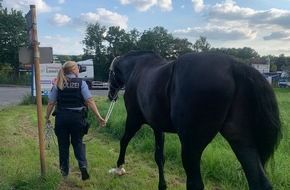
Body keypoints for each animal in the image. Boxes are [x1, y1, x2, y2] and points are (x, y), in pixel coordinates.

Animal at [107, 50, 280, 190]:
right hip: (241, 141)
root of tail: (234, 65)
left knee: (195, 184)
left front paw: (119, 167)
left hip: (191, 146)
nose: (110, 95)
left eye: (110, 73)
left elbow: (124, 140)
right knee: (260, 182)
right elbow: (159, 157)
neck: (138, 68)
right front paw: (162, 185)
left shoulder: (133, 119)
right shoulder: (158, 128)